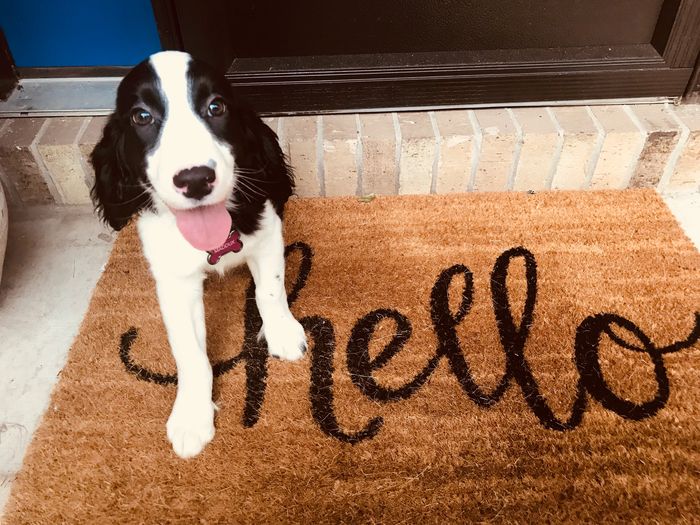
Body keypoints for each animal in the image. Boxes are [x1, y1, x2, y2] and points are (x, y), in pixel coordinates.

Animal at [90, 51, 306, 456]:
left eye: (215, 107)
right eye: (141, 116)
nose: (194, 179)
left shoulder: (268, 230)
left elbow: (270, 290)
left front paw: (282, 332)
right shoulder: (172, 281)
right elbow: (189, 351)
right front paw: (191, 415)